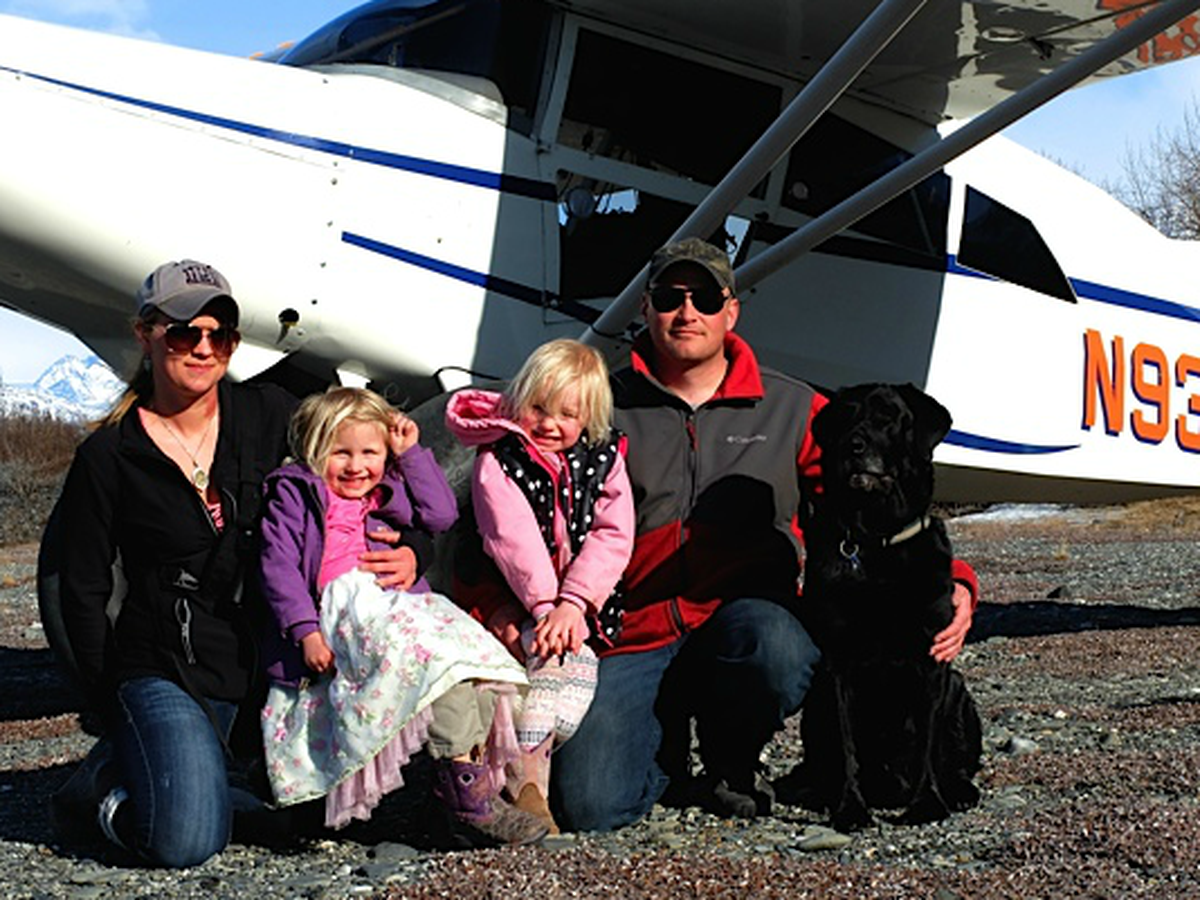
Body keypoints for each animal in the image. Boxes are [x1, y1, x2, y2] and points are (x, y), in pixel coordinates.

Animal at [778, 382, 981, 832]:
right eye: (844, 417)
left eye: (889, 417)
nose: (852, 446)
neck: (877, 539)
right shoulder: (838, 667)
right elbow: (848, 749)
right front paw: (851, 809)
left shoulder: (931, 661)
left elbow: (926, 746)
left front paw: (927, 804)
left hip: (958, 691)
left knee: (955, 764)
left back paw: (958, 791)